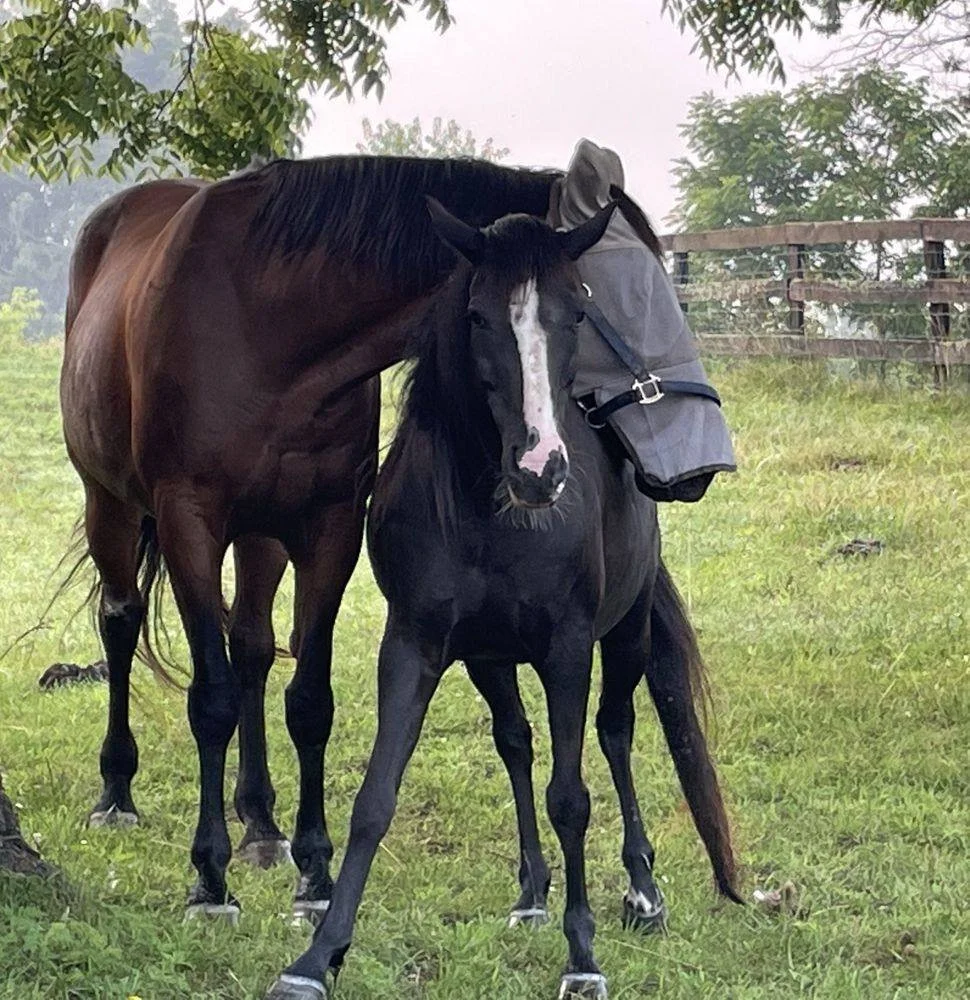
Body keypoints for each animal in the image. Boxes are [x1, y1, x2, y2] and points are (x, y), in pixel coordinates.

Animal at [60, 156, 562, 920]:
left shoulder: (329, 527)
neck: (271, 326)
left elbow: (308, 701)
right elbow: (209, 699)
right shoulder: (187, 523)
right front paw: (209, 878)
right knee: (121, 623)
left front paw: (315, 870)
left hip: (261, 537)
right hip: (109, 504)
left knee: (251, 647)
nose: (542, 462)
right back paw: (117, 791)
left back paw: (261, 822)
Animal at [266, 200, 741, 1000]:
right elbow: (375, 799)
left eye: (576, 310)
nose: (539, 469)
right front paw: (316, 958)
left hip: (626, 635)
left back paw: (642, 892)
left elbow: (571, 798)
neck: (491, 514)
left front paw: (583, 960)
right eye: (479, 316)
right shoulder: (415, 645)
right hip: (489, 659)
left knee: (616, 734)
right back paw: (530, 894)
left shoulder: (568, 648)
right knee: (516, 742)